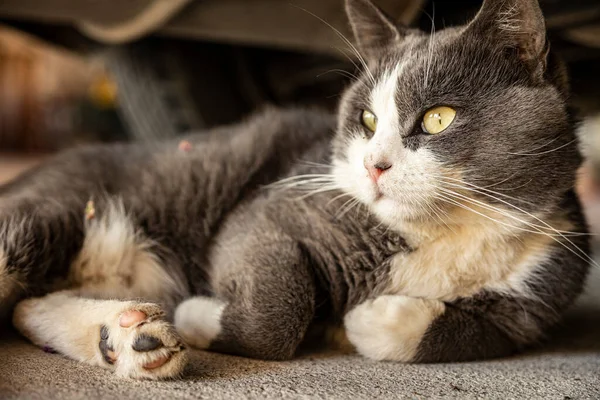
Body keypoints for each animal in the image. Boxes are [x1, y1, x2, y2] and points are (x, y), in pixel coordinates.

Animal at [0, 0, 592, 382]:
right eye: (367, 119)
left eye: (438, 118)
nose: (374, 166)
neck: (448, 231)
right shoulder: (275, 208)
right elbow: (278, 309)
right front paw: (195, 314)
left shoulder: (539, 292)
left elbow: (474, 334)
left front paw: (372, 321)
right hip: (56, 213)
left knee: (23, 307)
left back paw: (128, 337)